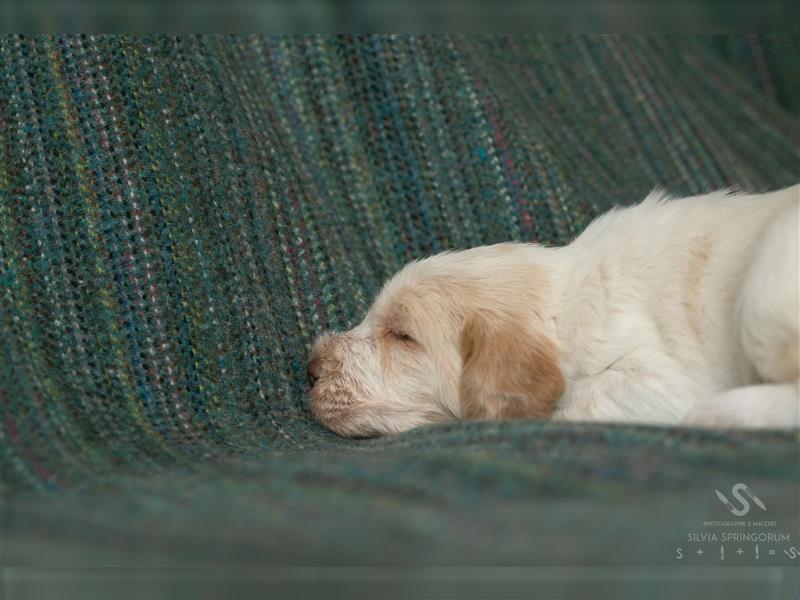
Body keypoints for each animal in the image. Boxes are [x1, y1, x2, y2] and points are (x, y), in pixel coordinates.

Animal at [308, 184, 800, 436]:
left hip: (763, 290)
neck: (565, 304)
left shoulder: (660, 377)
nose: (309, 369)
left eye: (402, 336)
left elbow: (580, 398)